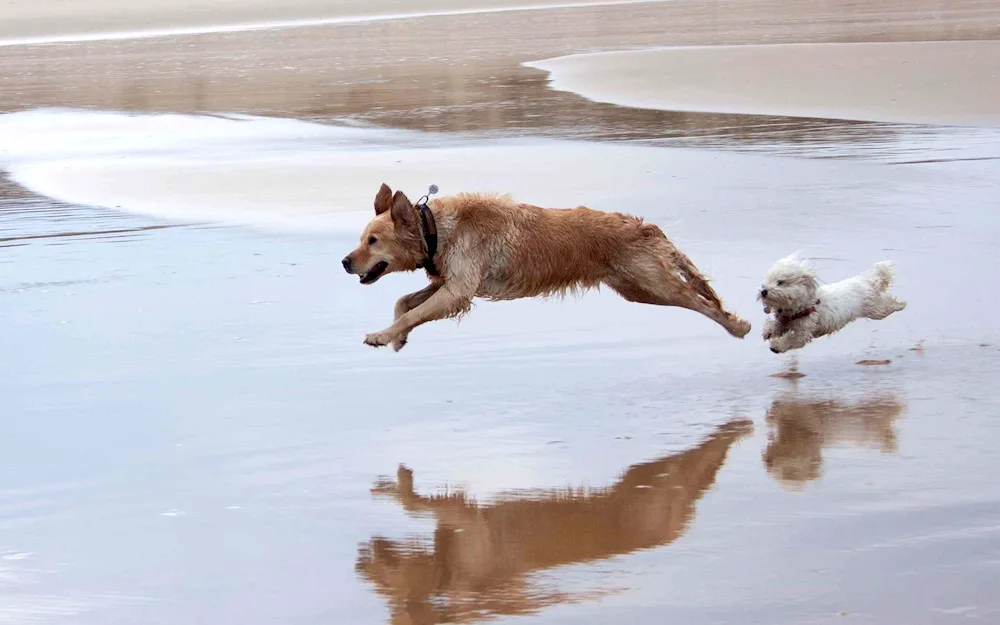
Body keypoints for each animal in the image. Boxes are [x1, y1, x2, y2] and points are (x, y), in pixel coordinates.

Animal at [344, 185, 752, 352]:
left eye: (373, 241)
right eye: (363, 238)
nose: (345, 261)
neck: (436, 230)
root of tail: (645, 226)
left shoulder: (458, 290)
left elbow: (411, 311)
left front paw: (382, 335)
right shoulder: (452, 283)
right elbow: (403, 303)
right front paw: (397, 338)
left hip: (654, 282)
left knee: (700, 300)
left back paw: (737, 326)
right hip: (639, 290)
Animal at [756, 252, 908, 352]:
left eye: (780, 282)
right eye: (765, 283)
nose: (763, 291)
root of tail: (866, 281)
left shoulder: (804, 332)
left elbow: (792, 340)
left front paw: (776, 346)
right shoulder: (784, 321)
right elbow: (775, 326)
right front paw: (768, 331)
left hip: (875, 309)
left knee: (887, 306)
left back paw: (900, 305)